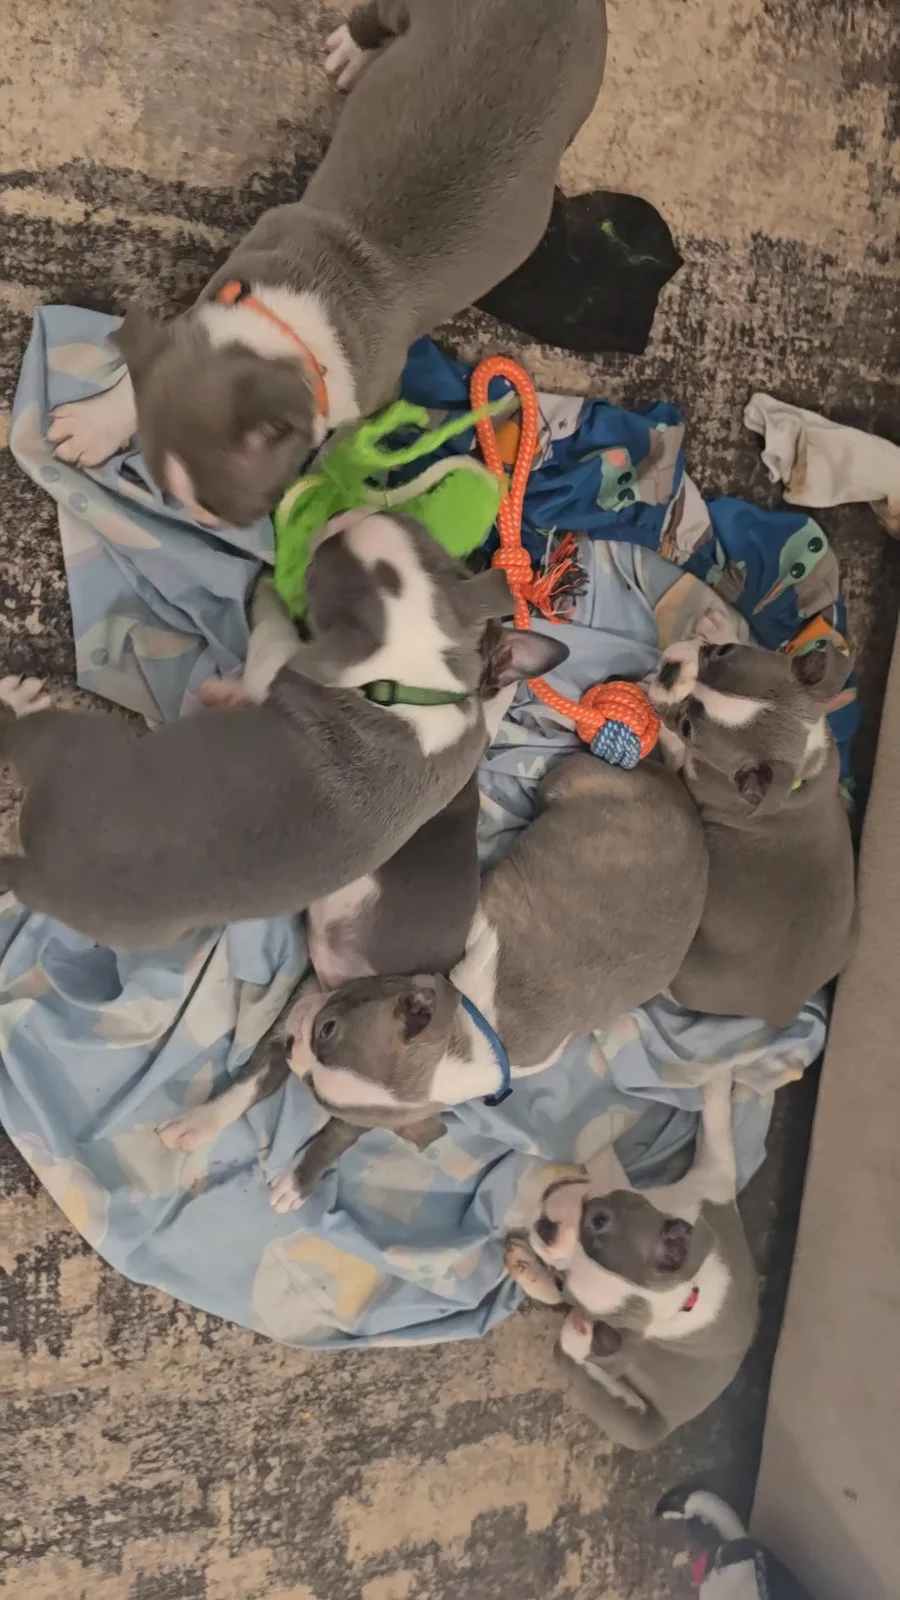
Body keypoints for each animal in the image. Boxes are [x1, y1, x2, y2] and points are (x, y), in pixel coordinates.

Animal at [0, 512, 565, 948]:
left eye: (325, 557)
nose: (340, 514)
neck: (413, 677)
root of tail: (41, 867)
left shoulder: (283, 664)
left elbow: (270, 635)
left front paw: (267, 590)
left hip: (71, 742)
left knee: (22, 735)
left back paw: (16, 698)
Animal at [46, 0, 608, 526]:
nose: (199, 522)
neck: (290, 329)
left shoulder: (371, 396)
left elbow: (337, 457)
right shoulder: (211, 308)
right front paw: (96, 424)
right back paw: (353, 53)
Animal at [506, 1074, 758, 1451]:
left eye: (599, 1220)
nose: (546, 1229)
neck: (682, 1294)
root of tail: (665, 1428)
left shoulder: (713, 1179)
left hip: (622, 1410)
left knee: (568, 1349)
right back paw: (528, 1267)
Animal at [646, 631, 856, 1027]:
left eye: (688, 728)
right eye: (724, 649)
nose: (668, 672)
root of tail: (786, 1009)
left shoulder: (696, 775)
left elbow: (676, 751)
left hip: (687, 972)